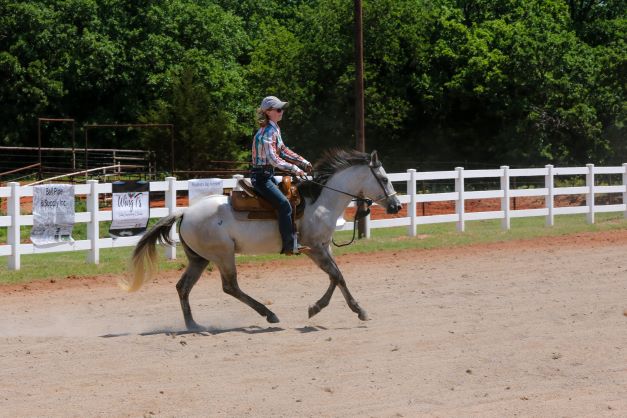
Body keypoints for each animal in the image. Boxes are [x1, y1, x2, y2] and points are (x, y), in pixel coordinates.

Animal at [122, 150, 402, 330]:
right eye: (384, 179)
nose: (397, 206)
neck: (320, 202)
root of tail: (185, 212)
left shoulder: (322, 248)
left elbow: (337, 277)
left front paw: (321, 308)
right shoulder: (314, 249)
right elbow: (337, 276)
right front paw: (353, 310)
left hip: (199, 259)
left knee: (183, 287)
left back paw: (193, 324)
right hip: (223, 256)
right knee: (230, 287)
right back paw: (269, 315)